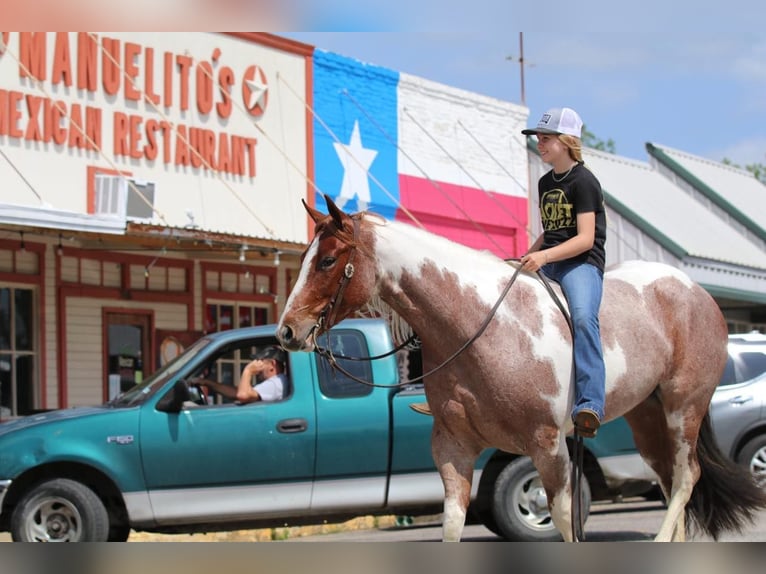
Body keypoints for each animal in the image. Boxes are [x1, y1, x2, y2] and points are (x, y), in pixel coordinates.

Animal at [278, 196, 766, 544]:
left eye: (327, 261)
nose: (286, 331)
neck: (480, 326)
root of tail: (695, 291)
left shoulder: (549, 446)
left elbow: (565, 521)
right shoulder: (452, 448)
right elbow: (453, 524)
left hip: (685, 407)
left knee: (686, 478)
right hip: (647, 415)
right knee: (668, 481)